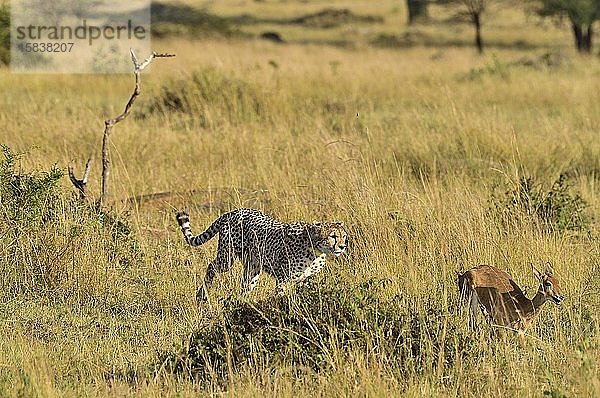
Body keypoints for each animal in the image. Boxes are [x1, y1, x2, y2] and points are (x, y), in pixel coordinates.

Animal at [176, 208, 346, 298]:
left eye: (344, 236)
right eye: (333, 236)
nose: (343, 246)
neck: (315, 251)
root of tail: (234, 211)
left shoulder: (305, 280)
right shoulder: (283, 279)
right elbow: (280, 298)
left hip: (253, 267)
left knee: (245, 286)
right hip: (227, 258)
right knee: (211, 266)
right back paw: (202, 295)